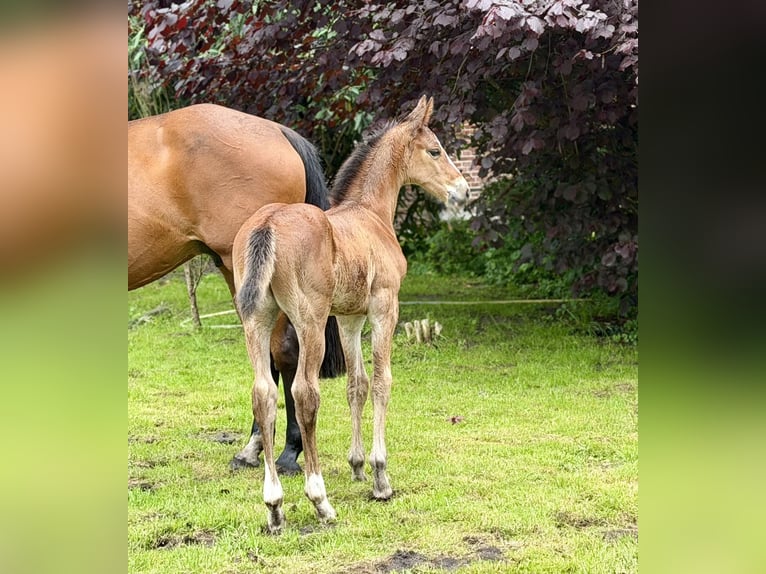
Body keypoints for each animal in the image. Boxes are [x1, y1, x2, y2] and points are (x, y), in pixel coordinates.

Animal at [232, 96, 469, 532]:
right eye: (435, 150)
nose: (461, 191)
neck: (370, 214)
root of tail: (268, 224)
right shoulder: (384, 309)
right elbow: (381, 381)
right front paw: (379, 475)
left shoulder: (348, 318)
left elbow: (355, 384)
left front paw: (357, 465)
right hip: (308, 320)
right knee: (304, 393)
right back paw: (319, 500)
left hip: (257, 319)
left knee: (264, 394)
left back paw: (274, 506)